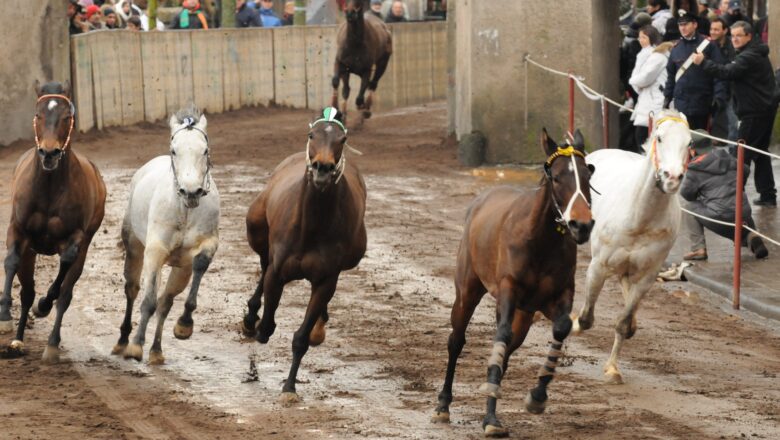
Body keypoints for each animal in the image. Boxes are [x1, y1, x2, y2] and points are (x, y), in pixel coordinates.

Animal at [0, 81, 106, 362]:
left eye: (67, 117)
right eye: (38, 115)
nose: (49, 153)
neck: (48, 187)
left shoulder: (75, 238)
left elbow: (63, 275)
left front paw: (43, 306)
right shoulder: (18, 230)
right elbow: (11, 262)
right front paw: (4, 316)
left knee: (65, 293)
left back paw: (51, 343)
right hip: (30, 250)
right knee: (26, 291)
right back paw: (17, 339)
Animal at [111, 106, 219, 364]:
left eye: (205, 150)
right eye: (174, 150)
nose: (191, 191)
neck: (185, 210)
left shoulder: (205, 246)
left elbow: (200, 264)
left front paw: (184, 326)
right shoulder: (155, 251)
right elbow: (148, 300)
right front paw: (135, 346)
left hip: (180, 270)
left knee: (166, 302)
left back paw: (157, 351)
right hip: (134, 248)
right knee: (133, 290)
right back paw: (123, 342)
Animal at [242, 106, 368, 402]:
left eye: (342, 139)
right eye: (313, 135)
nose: (323, 167)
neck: (312, 226)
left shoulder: (326, 279)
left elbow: (302, 336)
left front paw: (289, 386)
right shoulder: (278, 271)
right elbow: (266, 326)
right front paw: (254, 324)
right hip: (257, 229)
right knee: (263, 264)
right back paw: (250, 317)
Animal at [432, 128, 596, 436]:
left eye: (588, 175)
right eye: (557, 177)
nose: (582, 225)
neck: (541, 240)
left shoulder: (558, 293)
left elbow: (561, 327)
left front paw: (537, 396)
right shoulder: (508, 289)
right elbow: (501, 334)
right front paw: (490, 415)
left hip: (524, 314)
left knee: (507, 352)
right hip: (468, 288)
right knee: (457, 339)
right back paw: (443, 403)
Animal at [568, 111, 692, 384]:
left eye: (689, 143)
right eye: (659, 137)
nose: (672, 177)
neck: (639, 218)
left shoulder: (647, 275)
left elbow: (623, 323)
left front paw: (613, 369)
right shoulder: (598, 267)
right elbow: (586, 318)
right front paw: (573, 323)